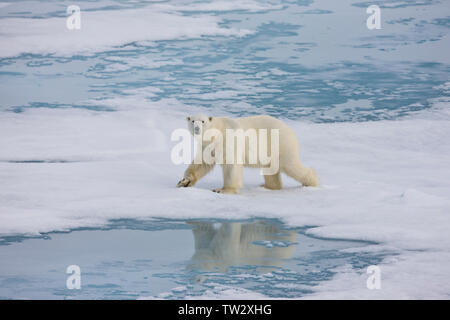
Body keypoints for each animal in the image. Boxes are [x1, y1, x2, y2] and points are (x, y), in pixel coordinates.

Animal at [174, 115, 318, 195]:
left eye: (203, 121)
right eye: (193, 121)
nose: (197, 128)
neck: (218, 131)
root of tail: (290, 130)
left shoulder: (229, 140)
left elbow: (231, 166)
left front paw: (223, 190)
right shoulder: (208, 145)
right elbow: (202, 163)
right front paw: (184, 181)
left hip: (280, 144)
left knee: (291, 165)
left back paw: (312, 182)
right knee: (270, 169)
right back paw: (267, 186)